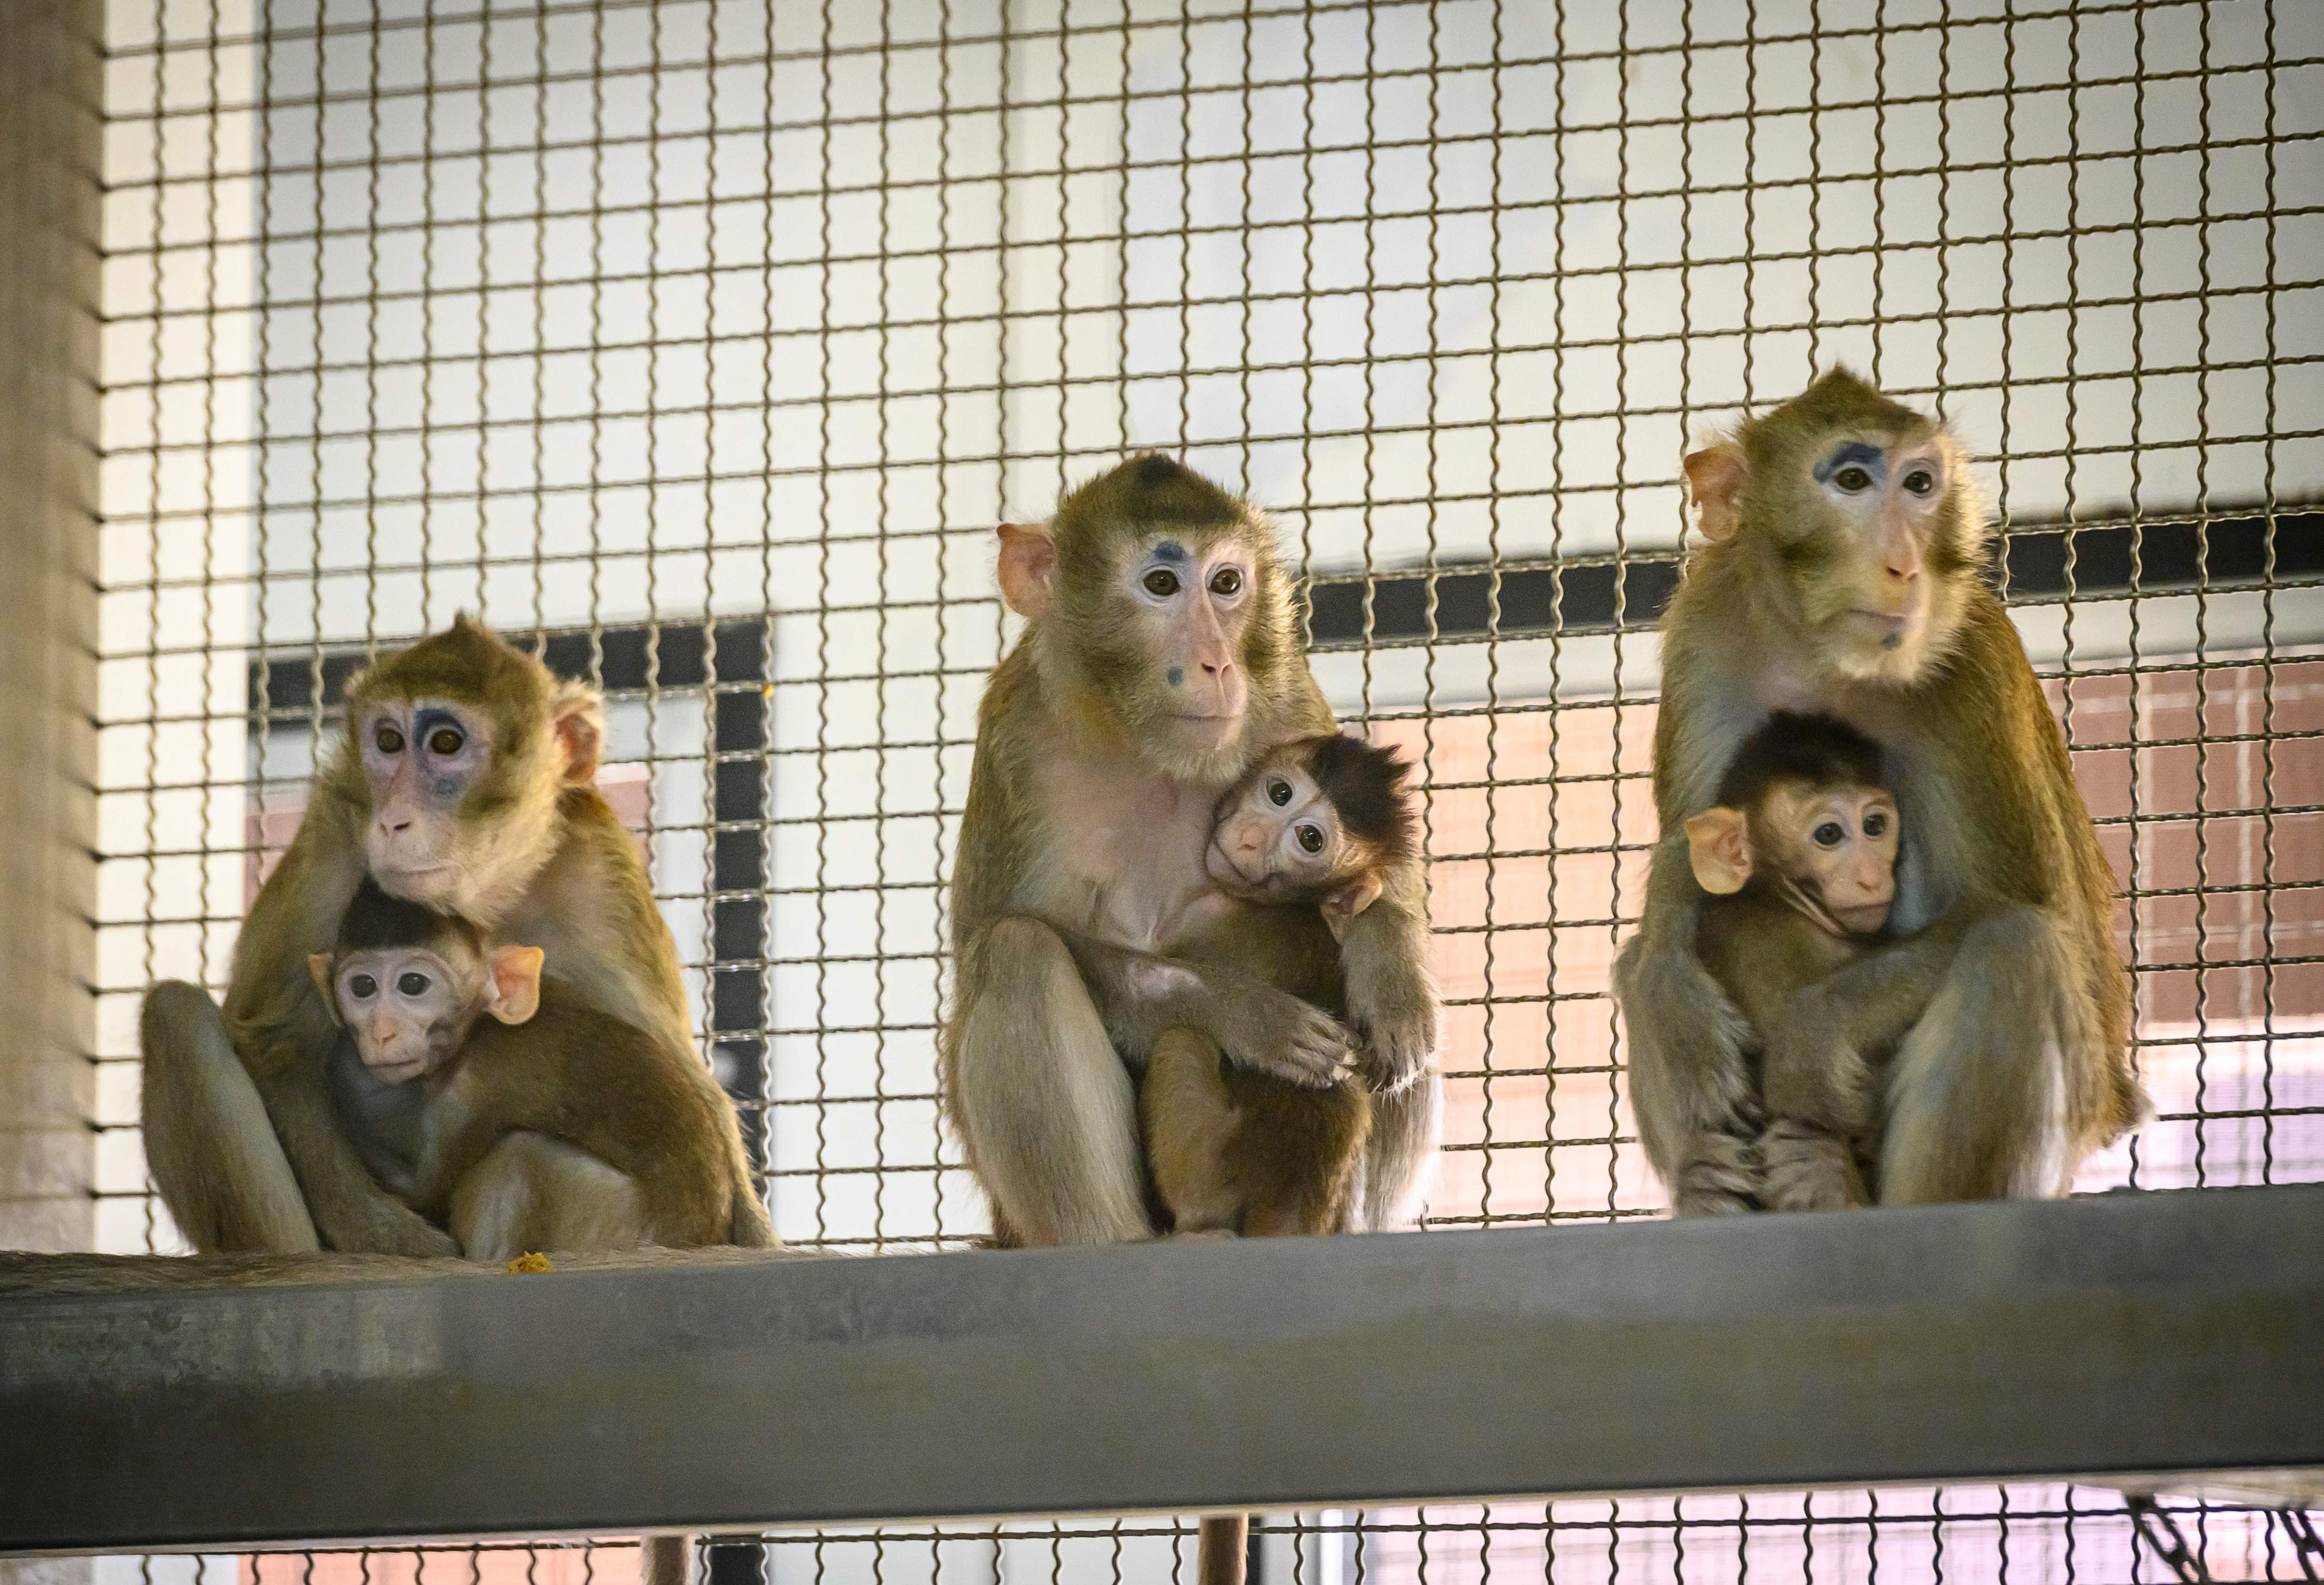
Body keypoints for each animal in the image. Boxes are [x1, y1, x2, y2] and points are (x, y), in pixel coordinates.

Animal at [311, 879, 755, 1258]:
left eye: (414, 985)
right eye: (363, 987)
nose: (382, 1032)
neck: (480, 1028)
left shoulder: (472, 1089)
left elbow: (427, 1194)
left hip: (614, 1224)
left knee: (520, 1154)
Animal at [1138, 732, 1421, 1237]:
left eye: (1310, 839)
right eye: (1280, 792)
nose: (1250, 837)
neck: (1293, 906)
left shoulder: (1206, 917)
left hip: (1205, 1171)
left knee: (1181, 1041)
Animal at [1611, 367, 2144, 1217]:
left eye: (1920, 485)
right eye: (1852, 482)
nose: (1903, 565)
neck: (1825, 661)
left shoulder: (1971, 667)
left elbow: (2049, 920)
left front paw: (1813, 1033)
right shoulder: (1705, 632)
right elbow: (1686, 868)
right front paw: (1673, 998)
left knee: (2015, 947)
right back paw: (1706, 1184)